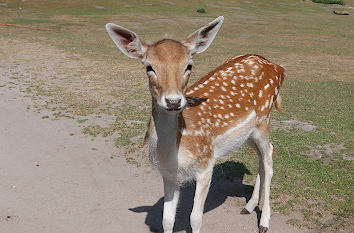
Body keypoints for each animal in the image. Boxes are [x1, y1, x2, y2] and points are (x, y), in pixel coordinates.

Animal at [106, 16, 284, 233]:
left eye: (189, 65)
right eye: (149, 67)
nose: (173, 101)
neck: (175, 152)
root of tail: (277, 66)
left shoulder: (206, 164)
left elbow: (195, 219)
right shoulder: (168, 174)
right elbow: (167, 219)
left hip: (264, 119)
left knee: (269, 157)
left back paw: (264, 221)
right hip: (247, 133)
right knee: (261, 157)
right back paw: (248, 207)